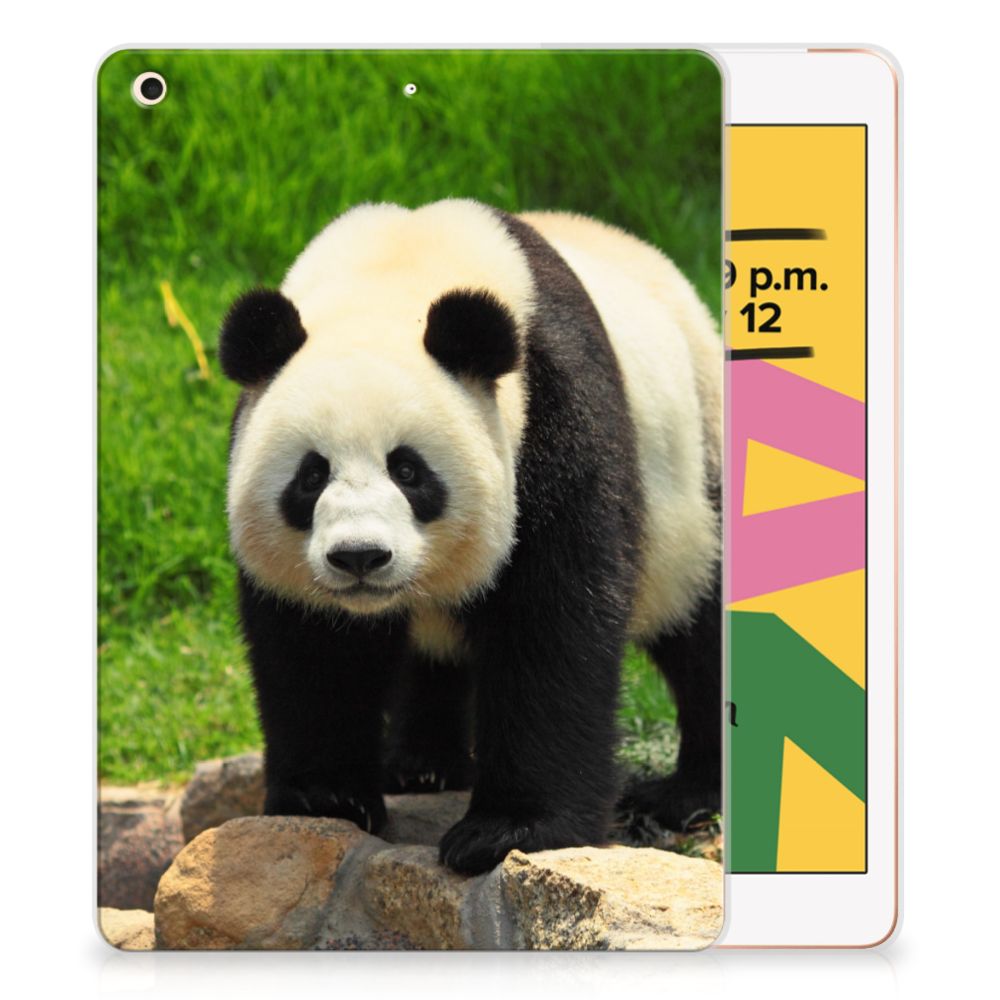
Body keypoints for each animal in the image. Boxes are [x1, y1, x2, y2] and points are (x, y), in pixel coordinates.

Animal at [220, 198, 722, 876]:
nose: (360, 557)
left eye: (408, 471)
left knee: (705, 621)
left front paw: (507, 830)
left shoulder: (554, 415)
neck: (393, 274)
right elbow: (313, 645)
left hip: (696, 471)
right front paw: (326, 797)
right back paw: (422, 765)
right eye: (311, 474)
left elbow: (552, 621)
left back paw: (686, 793)